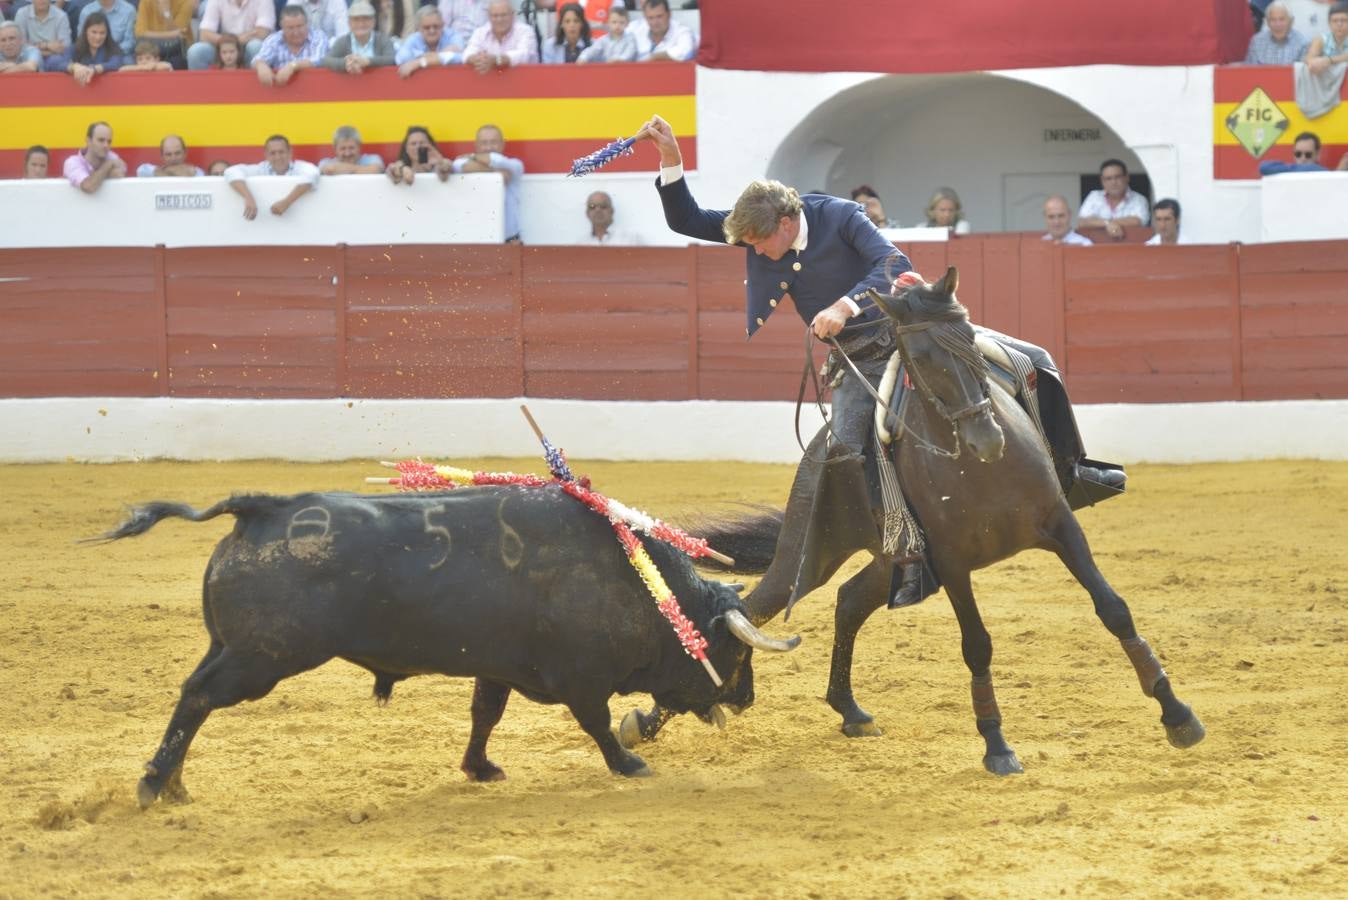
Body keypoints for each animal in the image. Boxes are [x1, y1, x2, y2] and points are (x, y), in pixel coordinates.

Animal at [95, 487, 798, 802]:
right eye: (738, 654)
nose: (746, 700)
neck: (636, 584)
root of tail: (261, 510)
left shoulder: (500, 667)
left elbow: (485, 714)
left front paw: (479, 768)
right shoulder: (580, 680)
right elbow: (597, 726)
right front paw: (629, 764)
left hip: (232, 648)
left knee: (194, 697)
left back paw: (174, 783)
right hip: (259, 660)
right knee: (197, 697)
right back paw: (155, 782)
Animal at [625, 265, 1207, 776]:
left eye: (970, 340)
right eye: (921, 360)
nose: (986, 439)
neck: (983, 468)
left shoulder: (1062, 525)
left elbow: (1115, 610)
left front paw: (1178, 715)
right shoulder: (950, 559)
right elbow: (977, 644)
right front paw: (996, 746)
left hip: (891, 559)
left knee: (847, 601)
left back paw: (849, 711)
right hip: (809, 555)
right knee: (751, 610)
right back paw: (646, 723)